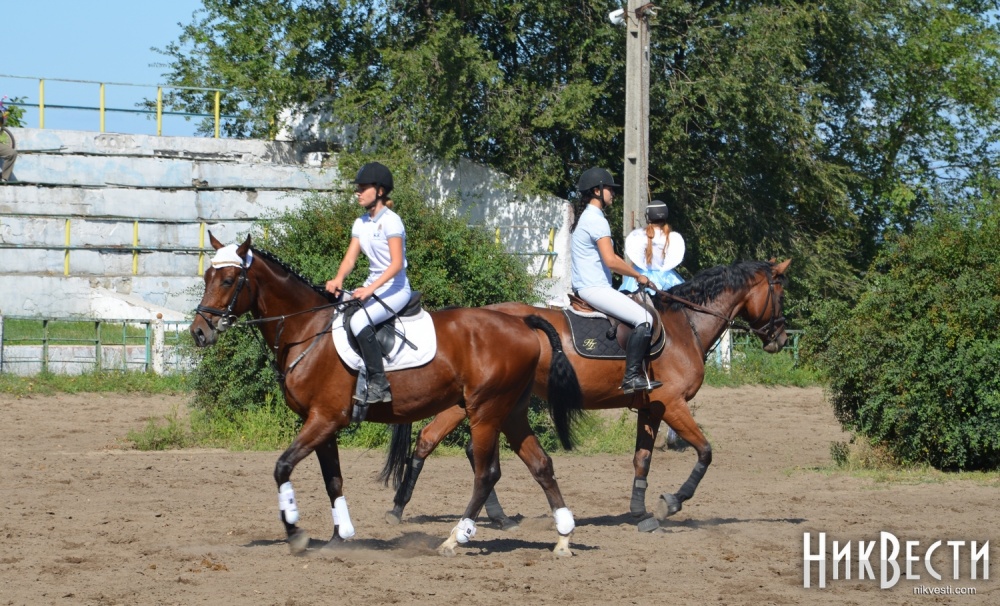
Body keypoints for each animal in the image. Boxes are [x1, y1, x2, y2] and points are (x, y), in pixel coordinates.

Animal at [189, 233, 584, 556]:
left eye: (228, 280)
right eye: (207, 278)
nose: (198, 332)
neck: (307, 331)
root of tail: (521, 322)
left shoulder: (324, 419)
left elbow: (282, 467)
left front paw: (297, 534)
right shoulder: (322, 424)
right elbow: (333, 480)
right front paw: (340, 537)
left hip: (485, 412)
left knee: (487, 474)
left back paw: (455, 538)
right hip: (511, 412)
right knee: (541, 465)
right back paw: (563, 537)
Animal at [384, 259, 791, 531]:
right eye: (780, 293)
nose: (782, 339)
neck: (684, 326)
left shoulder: (652, 407)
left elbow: (642, 460)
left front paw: (640, 512)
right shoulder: (674, 404)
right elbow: (705, 452)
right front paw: (670, 504)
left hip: (476, 400)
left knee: (438, 440)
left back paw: (426, 510)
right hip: (482, 400)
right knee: (452, 445)